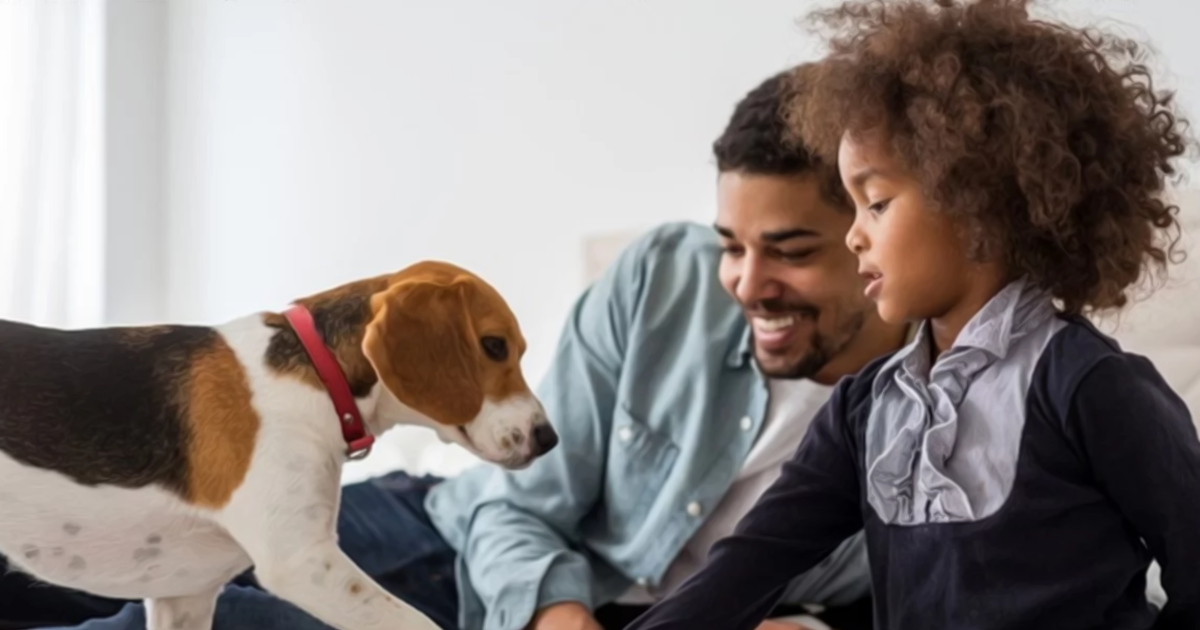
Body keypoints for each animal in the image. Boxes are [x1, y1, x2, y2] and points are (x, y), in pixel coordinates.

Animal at [0, 260, 556, 628]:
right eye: (494, 346)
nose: (549, 439)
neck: (319, 373)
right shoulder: (303, 562)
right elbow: (417, 622)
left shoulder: (185, 596)